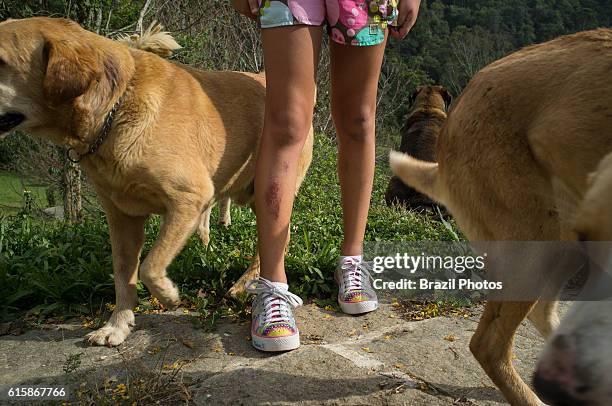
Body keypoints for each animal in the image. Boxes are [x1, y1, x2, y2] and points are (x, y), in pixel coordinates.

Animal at [0, 18, 314, 346]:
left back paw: (245, 284)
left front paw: (169, 295)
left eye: (0, 61)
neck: (116, 105)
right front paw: (117, 325)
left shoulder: (190, 198)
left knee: (279, 238)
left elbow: (149, 266)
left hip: (268, 188)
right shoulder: (122, 218)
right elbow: (124, 275)